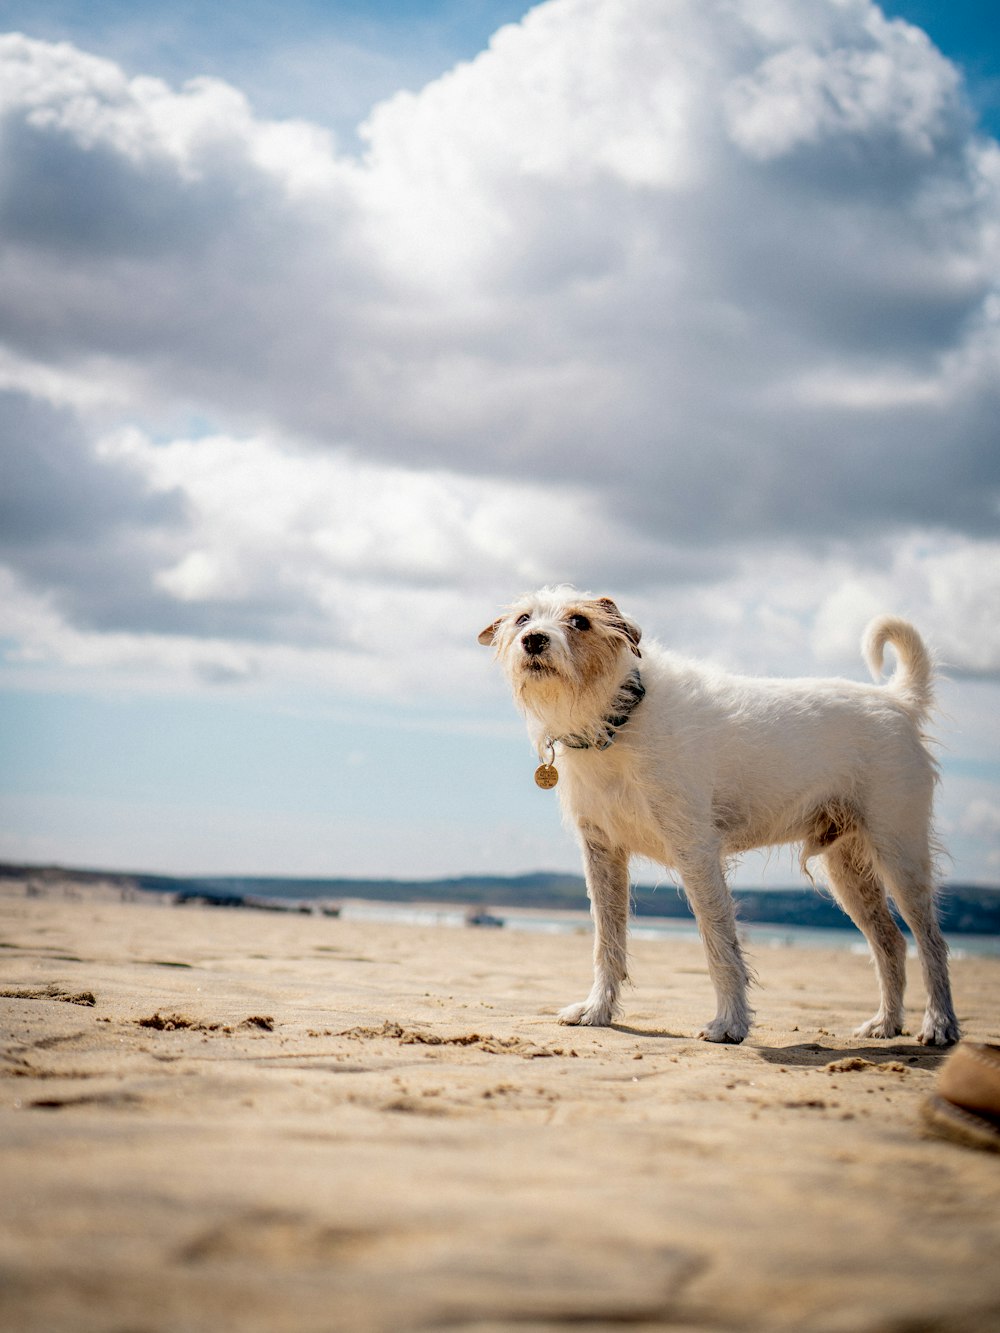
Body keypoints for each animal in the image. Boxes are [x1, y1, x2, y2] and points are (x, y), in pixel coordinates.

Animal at [482, 589, 965, 1045]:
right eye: (523, 618)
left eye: (579, 621)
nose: (533, 639)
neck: (619, 720)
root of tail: (896, 701)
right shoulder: (602, 852)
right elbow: (607, 940)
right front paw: (597, 1010)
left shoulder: (696, 851)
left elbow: (719, 943)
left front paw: (731, 1024)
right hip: (847, 868)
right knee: (890, 941)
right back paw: (886, 1023)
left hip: (900, 850)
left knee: (931, 942)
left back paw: (940, 1025)